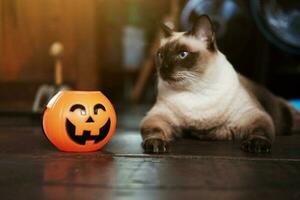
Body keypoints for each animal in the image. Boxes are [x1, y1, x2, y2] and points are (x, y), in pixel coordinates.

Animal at [141, 15, 300, 153]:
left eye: (183, 54)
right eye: (161, 55)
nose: (163, 69)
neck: (196, 90)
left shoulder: (256, 116)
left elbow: (259, 132)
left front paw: (257, 145)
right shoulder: (156, 117)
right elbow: (154, 131)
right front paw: (156, 144)